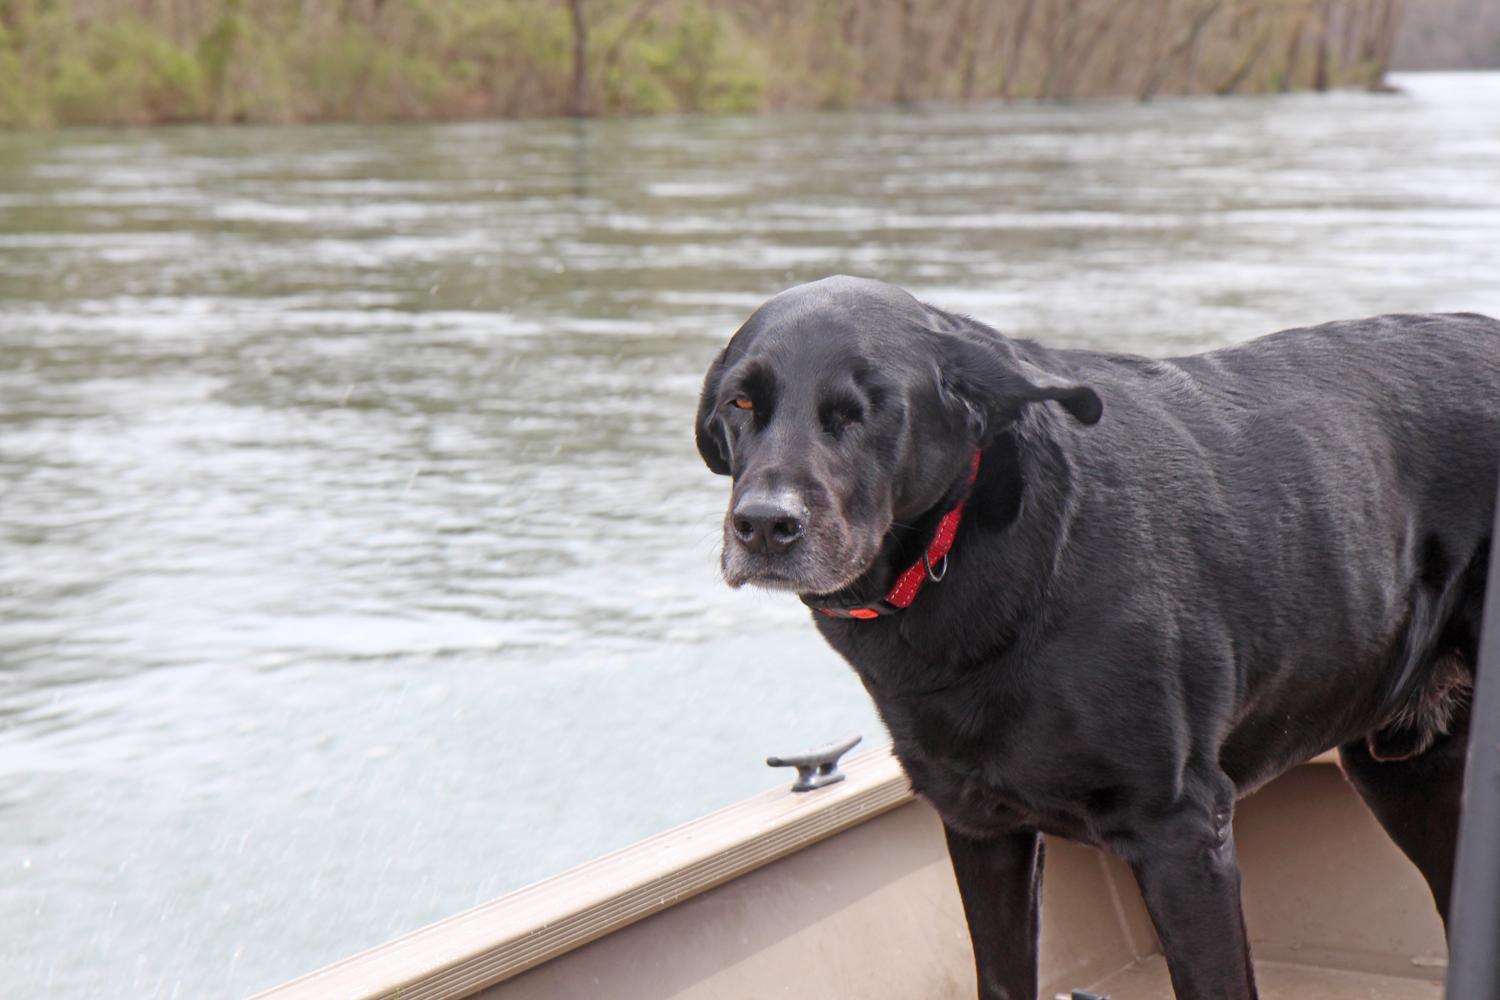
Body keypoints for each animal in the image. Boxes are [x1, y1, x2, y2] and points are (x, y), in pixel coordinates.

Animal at [693, 275, 1500, 1000]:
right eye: (741, 402)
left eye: (869, 410)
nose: (763, 525)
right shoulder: (980, 830)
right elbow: (1001, 979)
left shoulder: (1182, 831)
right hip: (1405, 771)